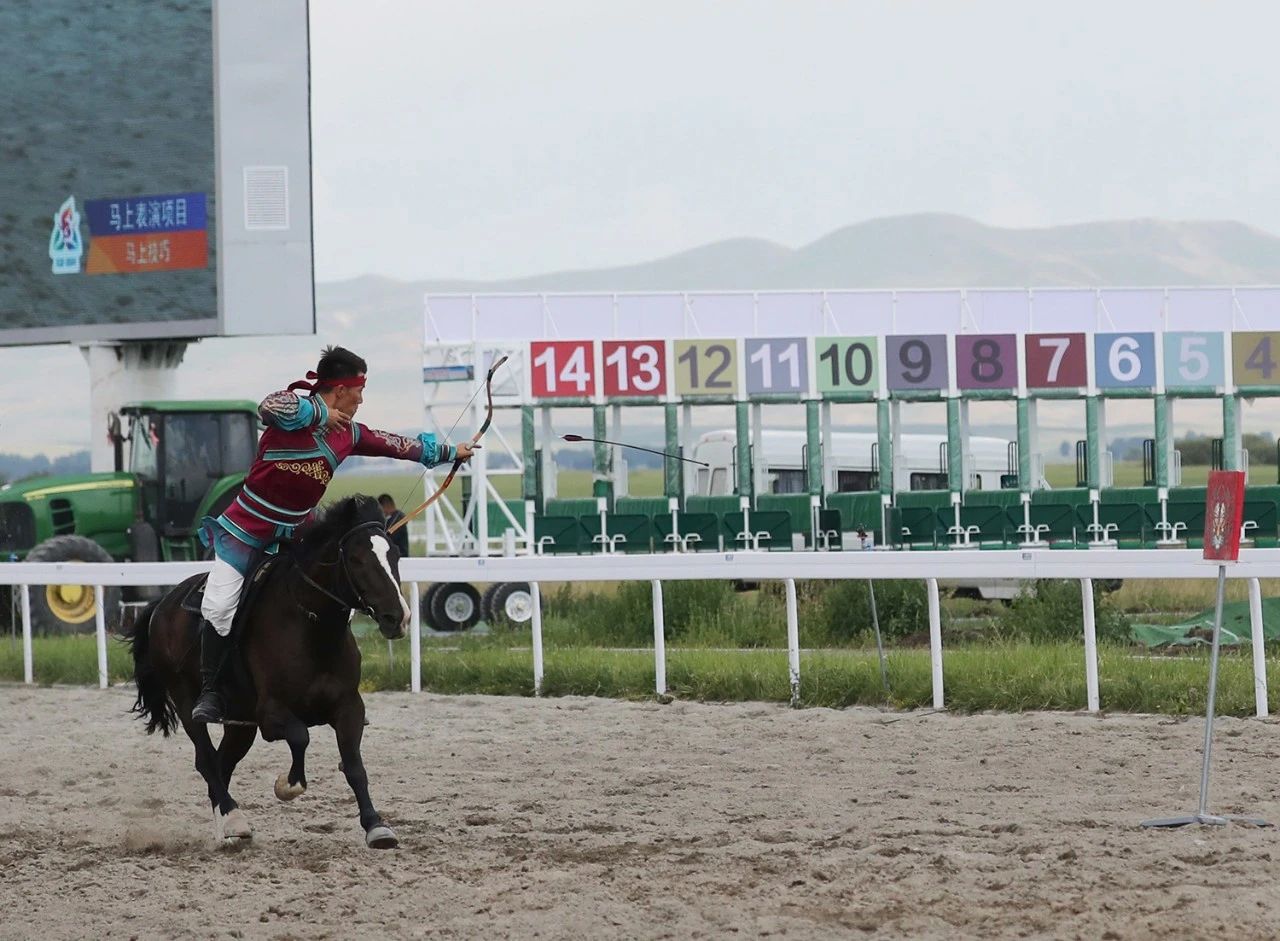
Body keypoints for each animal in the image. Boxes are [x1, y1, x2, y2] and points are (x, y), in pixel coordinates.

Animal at [122, 496, 407, 850]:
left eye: (395, 554)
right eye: (356, 559)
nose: (397, 617)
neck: (310, 628)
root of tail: (162, 603)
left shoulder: (350, 707)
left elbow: (354, 766)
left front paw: (376, 826)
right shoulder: (271, 714)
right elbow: (301, 736)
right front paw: (288, 785)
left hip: (240, 724)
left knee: (222, 763)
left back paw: (227, 825)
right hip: (188, 703)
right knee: (206, 760)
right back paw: (234, 818)